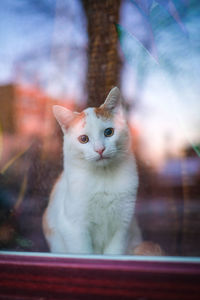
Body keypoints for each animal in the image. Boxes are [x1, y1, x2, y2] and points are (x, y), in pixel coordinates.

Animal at [42, 87, 141, 255]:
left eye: (109, 132)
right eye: (83, 139)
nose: (100, 149)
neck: (103, 176)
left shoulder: (123, 227)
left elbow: (115, 252)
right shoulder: (74, 228)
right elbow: (82, 251)